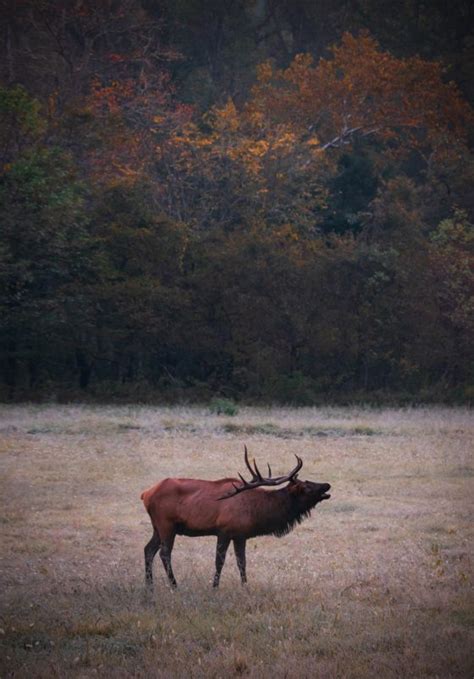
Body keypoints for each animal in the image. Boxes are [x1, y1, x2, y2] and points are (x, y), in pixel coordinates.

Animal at [143, 446, 332, 588]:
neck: (257, 511)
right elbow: (219, 561)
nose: (327, 485)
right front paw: (214, 588)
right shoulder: (224, 530)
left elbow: (242, 562)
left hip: (157, 526)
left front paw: (245, 587)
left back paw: (149, 586)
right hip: (166, 524)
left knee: (148, 550)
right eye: (306, 486)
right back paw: (174, 586)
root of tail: (145, 494)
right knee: (164, 553)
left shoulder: (241, 535)